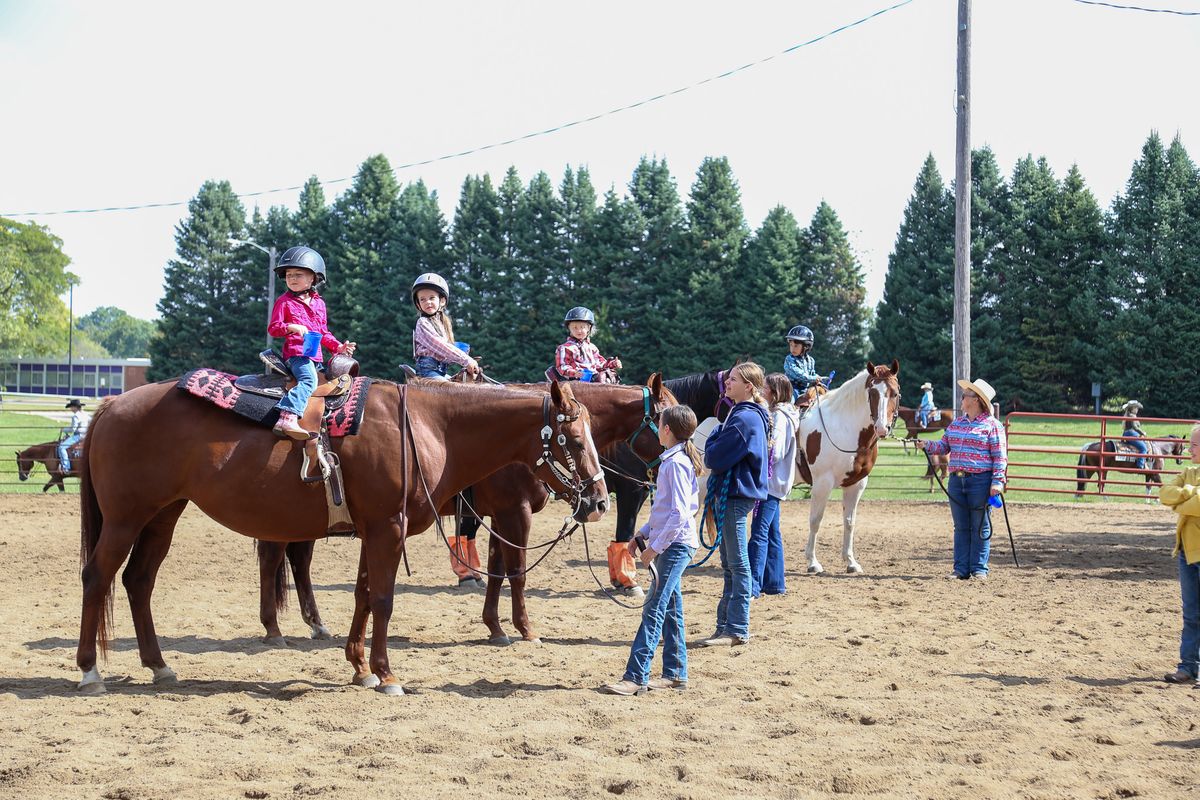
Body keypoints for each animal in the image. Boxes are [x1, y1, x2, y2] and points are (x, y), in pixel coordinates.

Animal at [72, 376, 609, 695]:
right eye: (573, 438)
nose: (601, 500)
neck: (427, 427)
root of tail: (113, 404)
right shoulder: (389, 528)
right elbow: (385, 599)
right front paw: (388, 674)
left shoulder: (375, 529)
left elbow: (364, 595)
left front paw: (360, 668)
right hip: (124, 519)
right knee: (98, 576)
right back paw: (90, 671)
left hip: (163, 515)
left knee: (138, 581)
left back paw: (159, 664)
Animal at [254, 379, 676, 647]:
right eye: (573, 439)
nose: (600, 502)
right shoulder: (514, 513)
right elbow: (517, 572)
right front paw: (525, 629)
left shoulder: (499, 517)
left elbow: (497, 571)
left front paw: (495, 626)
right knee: (276, 556)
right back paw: (274, 629)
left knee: (298, 559)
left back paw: (315, 624)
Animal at [796, 359, 902, 573]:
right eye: (872, 393)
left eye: (895, 393)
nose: (882, 428)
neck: (843, 427)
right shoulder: (822, 483)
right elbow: (815, 520)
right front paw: (812, 562)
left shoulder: (856, 484)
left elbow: (849, 522)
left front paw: (851, 562)